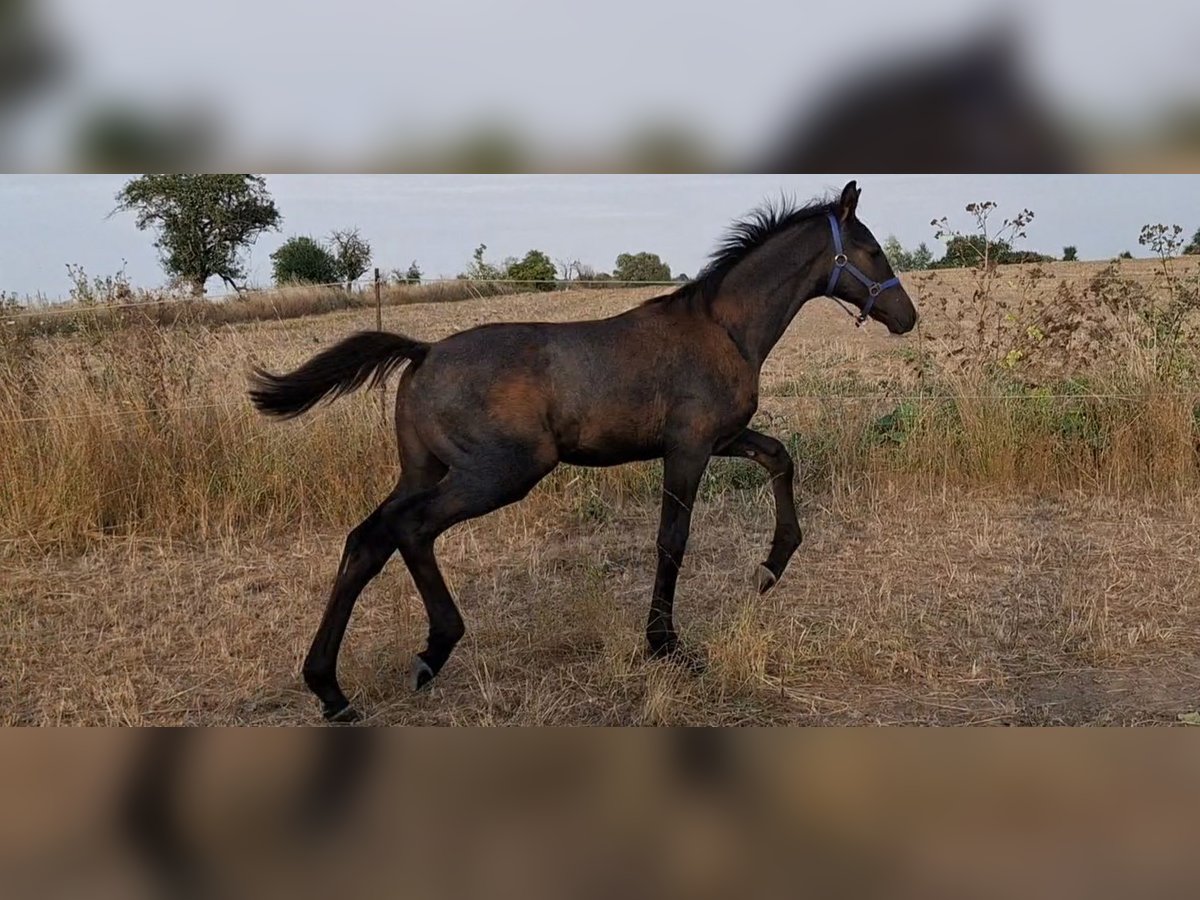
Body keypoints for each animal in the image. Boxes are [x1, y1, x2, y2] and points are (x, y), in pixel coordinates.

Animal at [246, 180, 916, 724]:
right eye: (872, 251)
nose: (906, 315)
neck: (722, 328)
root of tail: (424, 351)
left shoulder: (724, 438)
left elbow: (779, 456)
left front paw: (771, 567)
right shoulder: (689, 448)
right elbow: (672, 539)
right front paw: (666, 646)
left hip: (423, 468)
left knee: (367, 539)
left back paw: (331, 691)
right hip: (499, 472)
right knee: (410, 528)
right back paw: (434, 649)